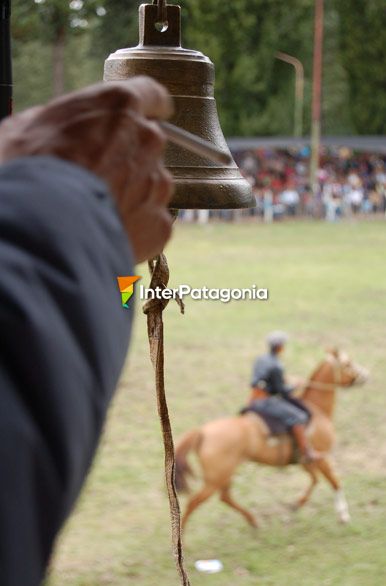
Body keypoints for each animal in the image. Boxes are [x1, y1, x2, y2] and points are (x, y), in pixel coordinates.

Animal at [175, 350, 368, 528]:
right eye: (347, 364)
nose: (365, 375)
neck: (316, 411)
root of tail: (203, 432)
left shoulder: (306, 461)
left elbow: (315, 480)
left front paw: (297, 504)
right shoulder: (323, 458)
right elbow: (335, 482)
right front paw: (343, 515)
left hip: (223, 476)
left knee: (225, 498)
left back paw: (253, 521)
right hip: (215, 479)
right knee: (194, 502)